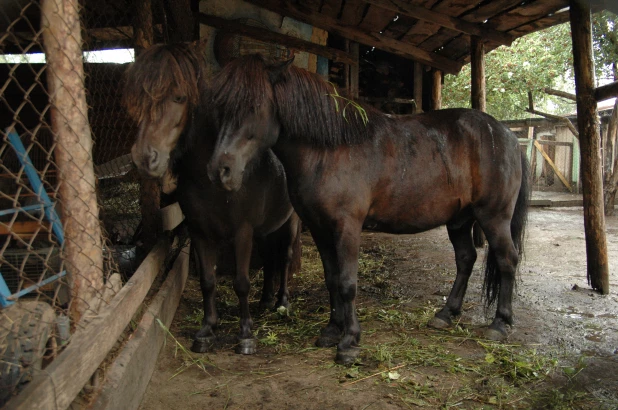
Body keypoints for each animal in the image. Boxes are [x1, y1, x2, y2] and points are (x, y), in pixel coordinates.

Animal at [123, 44, 300, 352]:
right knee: (269, 257)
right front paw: (207, 330)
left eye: (179, 96)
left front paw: (245, 334)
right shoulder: (199, 231)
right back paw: (265, 300)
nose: (145, 158)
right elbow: (207, 280)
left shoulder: (243, 231)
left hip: (291, 222)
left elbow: (241, 281)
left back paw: (282, 303)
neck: (210, 180)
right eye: (140, 98)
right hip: (265, 229)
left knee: (285, 257)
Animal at [205, 54, 528, 366]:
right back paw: (446, 314)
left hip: (493, 217)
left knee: (507, 259)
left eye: (254, 106)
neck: (330, 150)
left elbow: (347, 283)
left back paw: (499, 324)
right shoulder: (320, 229)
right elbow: (332, 279)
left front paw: (349, 342)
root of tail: (508, 135)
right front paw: (331, 331)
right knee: (465, 259)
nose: (219, 171)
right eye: (219, 107)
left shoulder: (347, 227)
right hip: (459, 219)